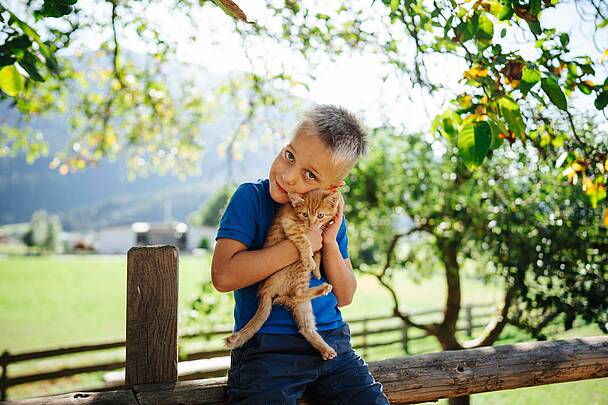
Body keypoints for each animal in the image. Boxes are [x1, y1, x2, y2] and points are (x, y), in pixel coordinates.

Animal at [223, 189, 340, 360]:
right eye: (305, 214)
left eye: (320, 215)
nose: (311, 224)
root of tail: (264, 291)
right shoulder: (290, 224)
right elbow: (306, 243)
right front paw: (311, 260)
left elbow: (319, 250)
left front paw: (317, 270)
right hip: (298, 269)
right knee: (297, 294)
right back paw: (323, 287)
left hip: (302, 305)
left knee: (304, 325)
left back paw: (325, 349)